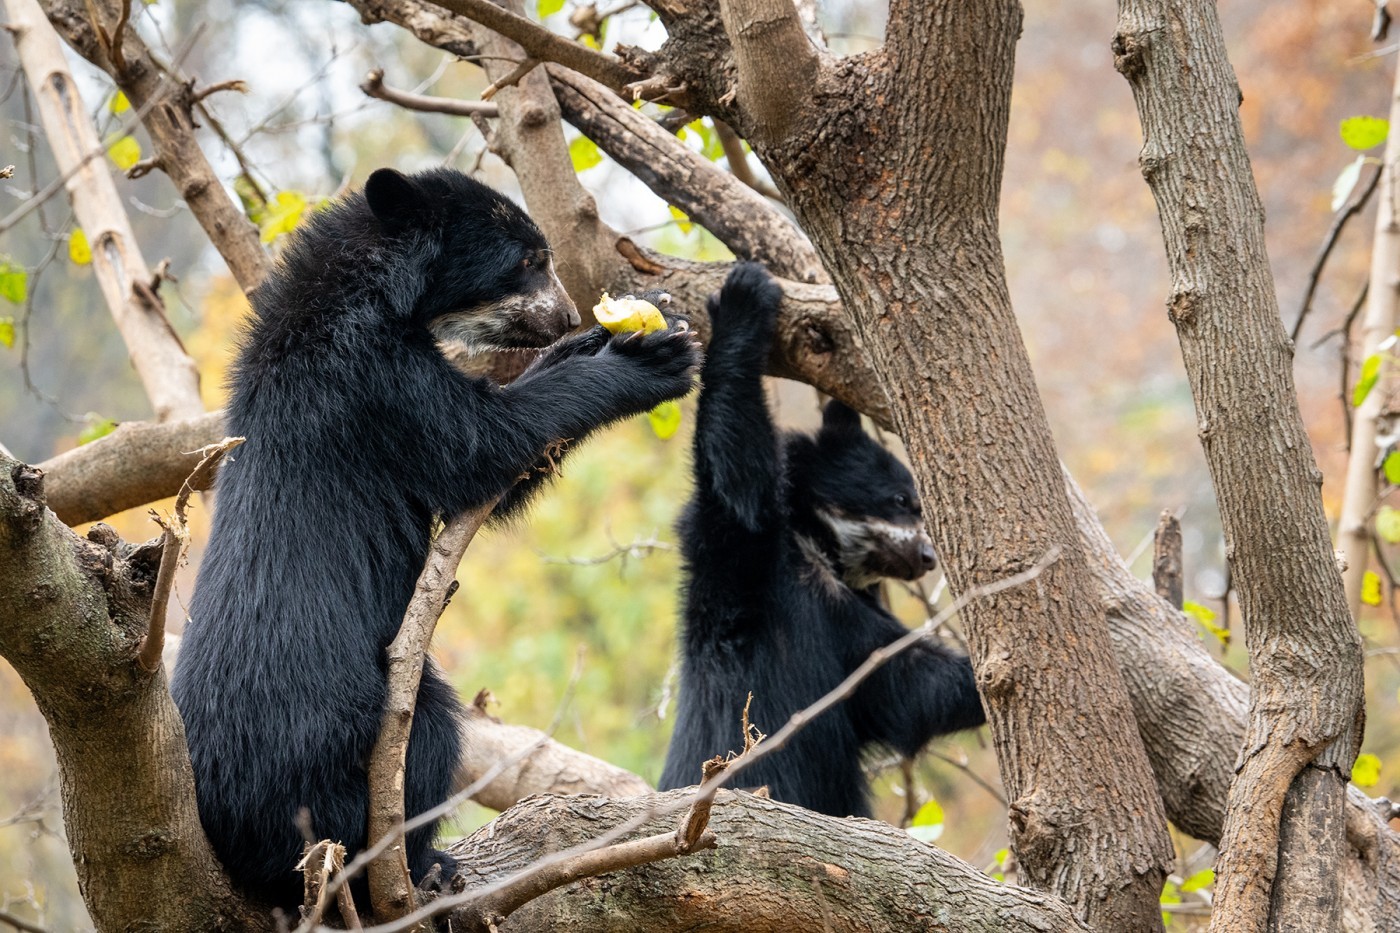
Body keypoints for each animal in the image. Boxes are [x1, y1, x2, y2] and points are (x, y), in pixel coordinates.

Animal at [172, 167, 700, 902]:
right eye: (527, 261)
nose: (567, 315)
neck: (364, 296)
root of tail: (224, 828)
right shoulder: (377, 381)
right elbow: (483, 445)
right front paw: (648, 359)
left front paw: (636, 317)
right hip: (350, 734)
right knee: (421, 746)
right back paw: (425, 867)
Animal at [660, 261, 991, 812]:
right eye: (902, 500)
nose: (928, 557)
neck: (816, 551)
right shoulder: (739, 559)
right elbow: (739, 478)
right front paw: (743, 297)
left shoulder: (856, 642)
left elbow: (913, 683)